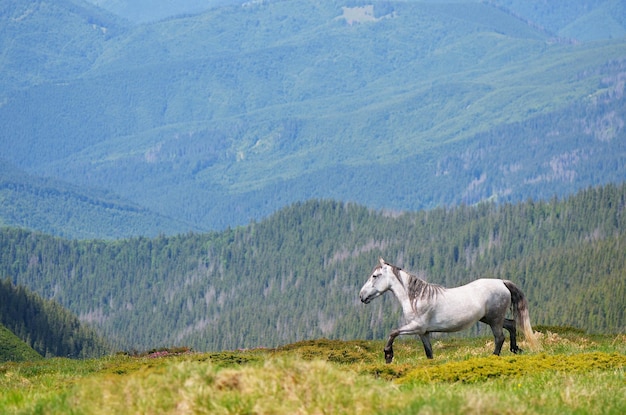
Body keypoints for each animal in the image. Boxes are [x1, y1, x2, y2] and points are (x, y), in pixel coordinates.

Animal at [358, 258, 540, 362]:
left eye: (375, 276)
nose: (362, 296)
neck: (416, 297)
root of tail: (502, 282)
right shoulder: (423, 332)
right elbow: (429, 353)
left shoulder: (416, 327)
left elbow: (393, 332)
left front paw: (388, 355)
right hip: (490, 318)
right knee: (511, 325)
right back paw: (515, 349)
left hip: (494, 320)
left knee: (500, 337)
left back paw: (494, 358)